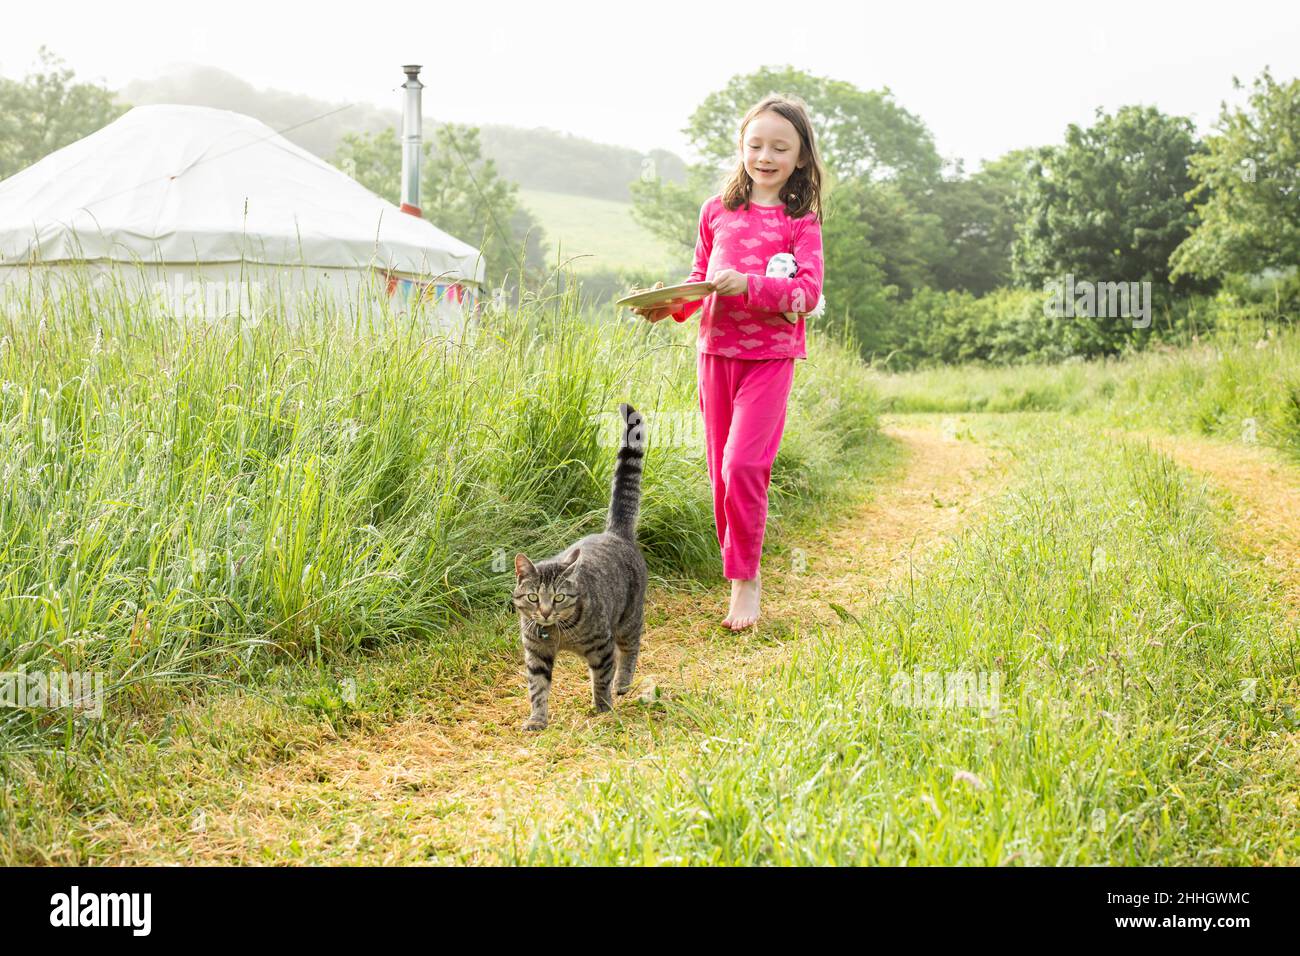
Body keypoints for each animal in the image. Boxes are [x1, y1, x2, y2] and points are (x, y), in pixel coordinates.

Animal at [509, 403, 647, 733]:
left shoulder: (601, 646)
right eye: (533, 597)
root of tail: (615, 533)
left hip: (628, 619)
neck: (557, 635)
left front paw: (603, 707)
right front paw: (537, 719)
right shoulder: (536, 654)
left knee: (631, 648)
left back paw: (623, 683)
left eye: (558, 597)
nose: (546, 612)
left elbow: (602, 679)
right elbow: (537, 689)